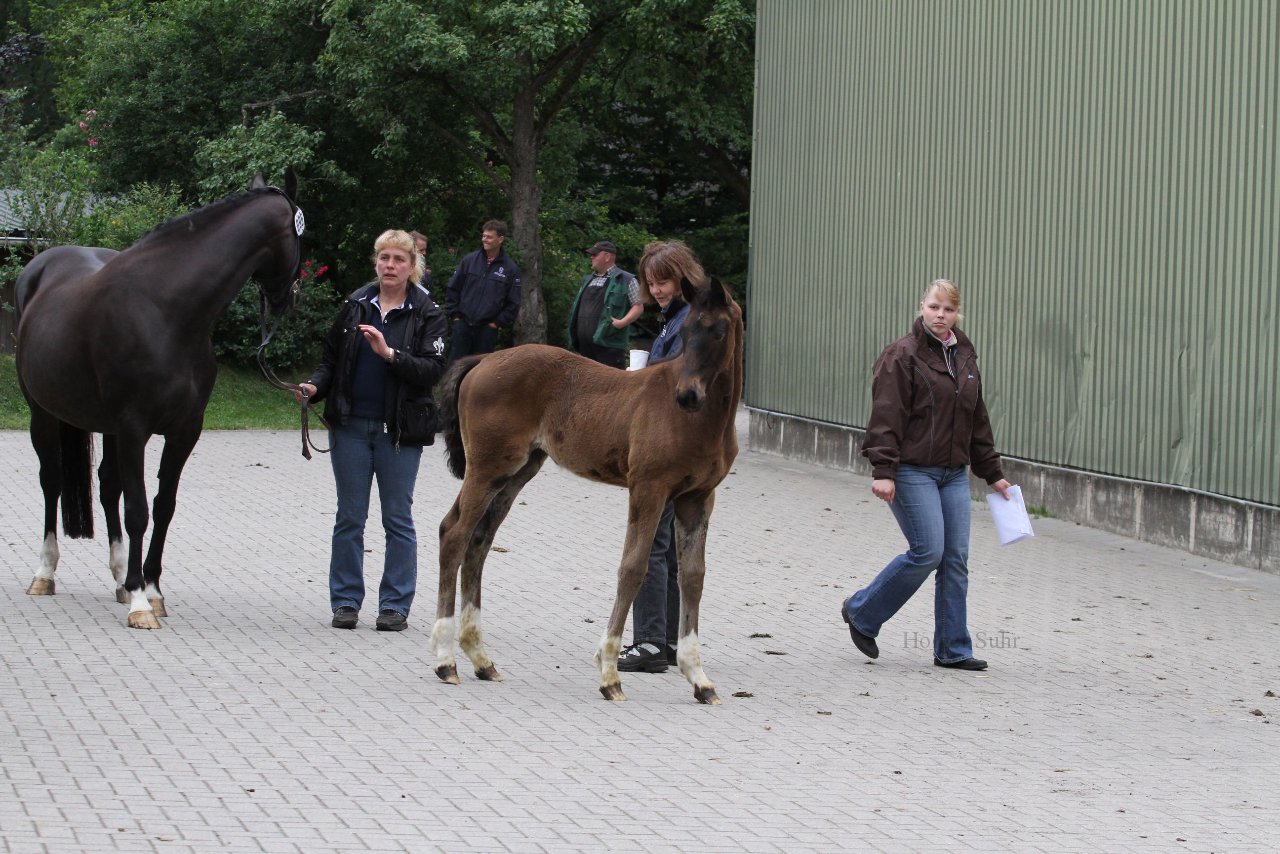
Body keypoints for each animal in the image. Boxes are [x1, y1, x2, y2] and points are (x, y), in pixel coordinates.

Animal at [16, 174, 300, 627]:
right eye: (300, 231)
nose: (288, 297)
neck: (169, 312)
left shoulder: (185, 431)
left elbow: (163, 506)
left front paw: (150, 590)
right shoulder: (135, 428)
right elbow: (138, 510)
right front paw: (139, 604)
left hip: (106, 427)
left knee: (107, 486)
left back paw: (118, 576)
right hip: (42, 412)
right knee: (53, 480)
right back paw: (45, 574)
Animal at [435, 277, 747, 706]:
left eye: (716, 330)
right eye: (685, 332)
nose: (686, 396)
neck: (703, 423)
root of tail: (482, 360)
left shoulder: (697, 499)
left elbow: (693, 577)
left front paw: (699, 678)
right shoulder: (648, 488)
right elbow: (632, 568)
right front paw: (609, 673)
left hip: (516, 472)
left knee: (479, 542)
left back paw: (481, 660)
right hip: (486, 468)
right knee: (454, 534)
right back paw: (445, 661)